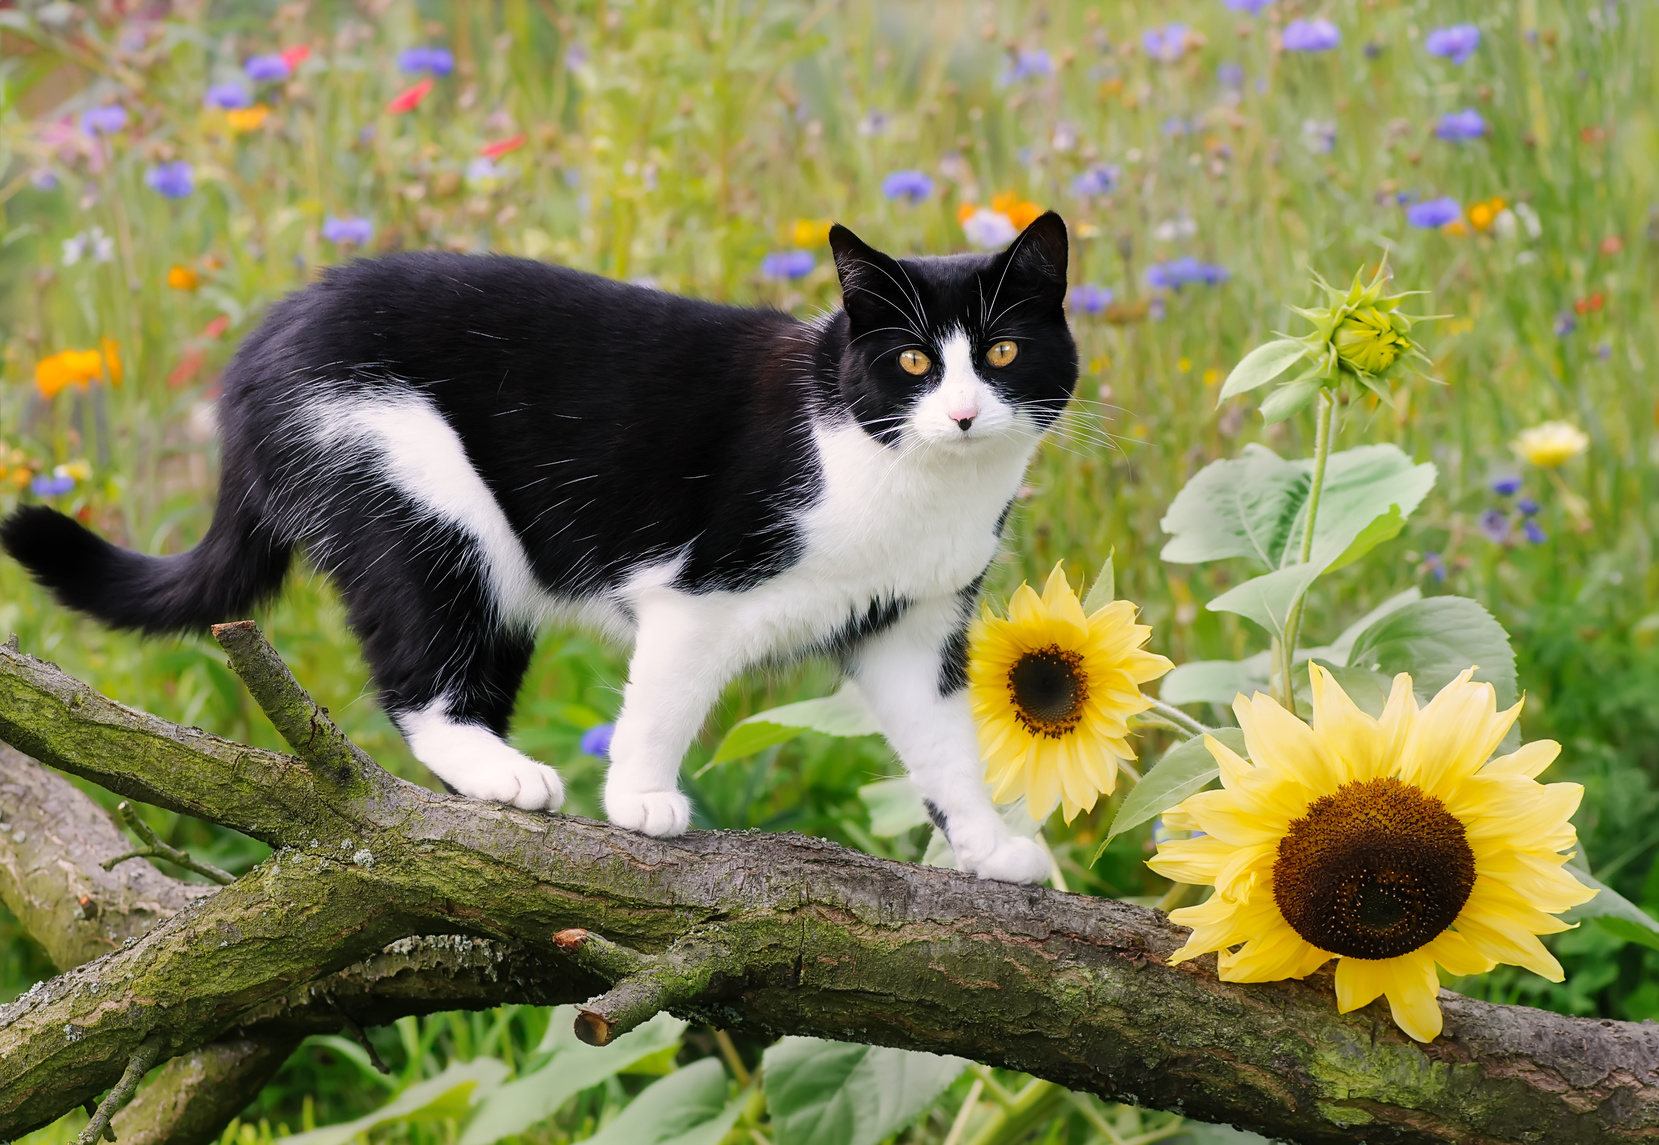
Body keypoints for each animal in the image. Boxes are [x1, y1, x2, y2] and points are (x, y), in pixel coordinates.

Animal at [6, 211, 1081, 876]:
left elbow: (945, 744)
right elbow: (661, 700)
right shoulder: (698, 592)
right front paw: (641, 800)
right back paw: (507, 775)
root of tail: (255, 355)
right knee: (420, 676)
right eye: (911, 361)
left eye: (1001, 352)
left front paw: (990, 847)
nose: (961, 414)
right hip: (414, 494)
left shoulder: (914, 624)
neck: (903, 478)